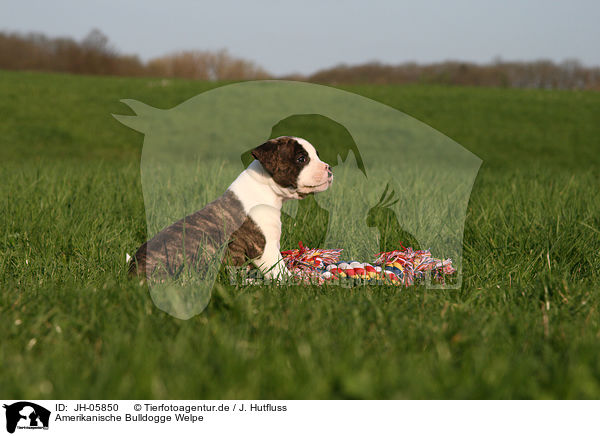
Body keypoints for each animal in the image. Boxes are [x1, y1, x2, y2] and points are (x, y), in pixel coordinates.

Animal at [129, 135, 332, 282]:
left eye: (317, 155)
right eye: (301, 159)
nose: (329, 168)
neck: (265, 189)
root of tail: (132, 271)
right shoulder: (265, 250)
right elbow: (281, 272)